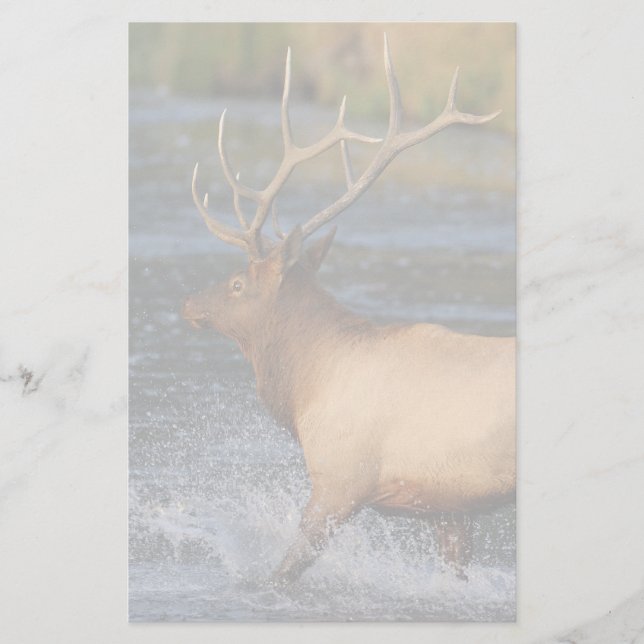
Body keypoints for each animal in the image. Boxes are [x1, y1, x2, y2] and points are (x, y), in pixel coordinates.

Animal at [182, 35, 515, 585]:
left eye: (236, 284)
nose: (187, 302)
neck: (305, 387)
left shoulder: (338, 482)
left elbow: (284, 572)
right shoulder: (448, 505)